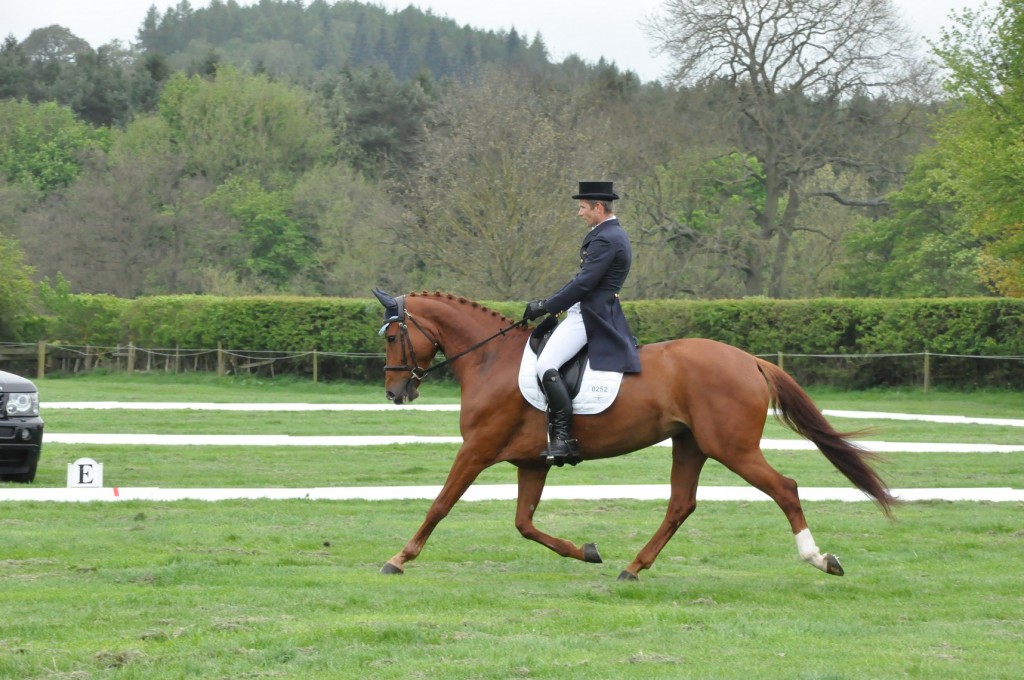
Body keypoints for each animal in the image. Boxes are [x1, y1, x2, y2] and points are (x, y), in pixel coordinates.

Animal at [372, 286, 892, 577]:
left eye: (394, 336)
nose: (396, 392)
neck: (489, 360)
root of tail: (750, 360)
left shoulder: (477, 449)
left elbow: (440, 505)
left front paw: (398, 558)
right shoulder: (530, 462)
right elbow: (525, 523)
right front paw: (587, 551)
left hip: (732, 447)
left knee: (785, 488)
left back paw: (820, 559)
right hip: (690, 445)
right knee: (681, 505)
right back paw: (632, 568)